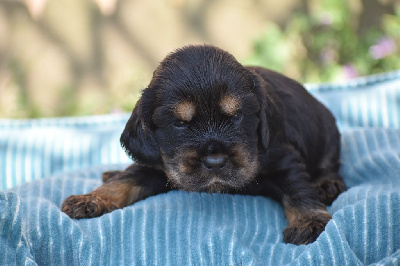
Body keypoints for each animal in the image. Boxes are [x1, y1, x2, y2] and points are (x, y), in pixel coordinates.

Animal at [61, 44, 346, 245]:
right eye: (180, 123)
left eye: (237, 116)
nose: (215, 162)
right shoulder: (157, 163)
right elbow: (126, 180)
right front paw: (91, 198)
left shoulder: (283, 157)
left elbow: (297, 189)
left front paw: (309, 221)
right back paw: (110, 173)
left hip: (328, 133)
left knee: (328, 164)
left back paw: (327, 185)